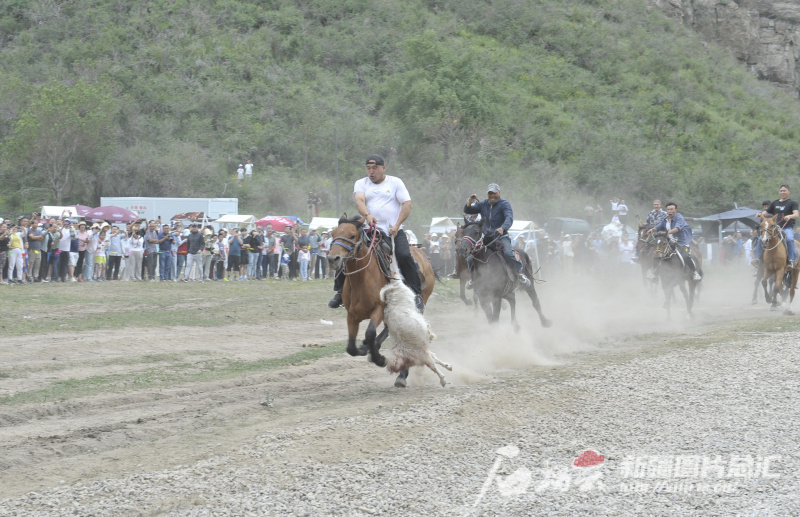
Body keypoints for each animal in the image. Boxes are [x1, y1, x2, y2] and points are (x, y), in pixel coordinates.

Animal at [326, 213, 438, 382]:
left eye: (352, 235)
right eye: (333, 234)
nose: (333, 259)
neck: (361, 278)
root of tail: (425, 256)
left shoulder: (379, 309)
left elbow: (370, 333)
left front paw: (379, 359)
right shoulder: (351, 315)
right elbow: (351, 347)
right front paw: (364, 349)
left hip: (416, 306)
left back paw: (402, 375)